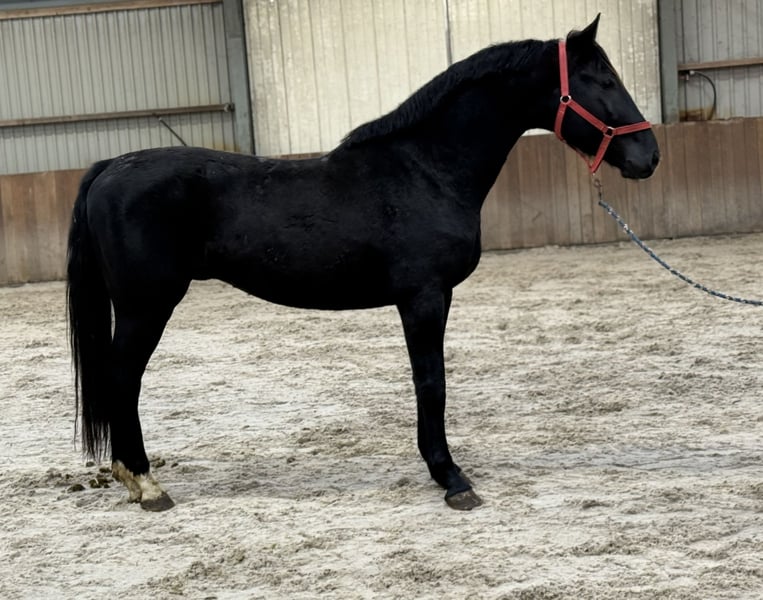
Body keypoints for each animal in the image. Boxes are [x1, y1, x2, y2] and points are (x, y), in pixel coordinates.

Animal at [67, 15, 659, 512]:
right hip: (146, 306)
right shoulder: (424, 297)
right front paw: (451, 479)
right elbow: (432, 382)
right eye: (602, 80)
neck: (425, 170)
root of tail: (110, 166)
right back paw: (146, 484)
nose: (648, 157)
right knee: (122, 377)